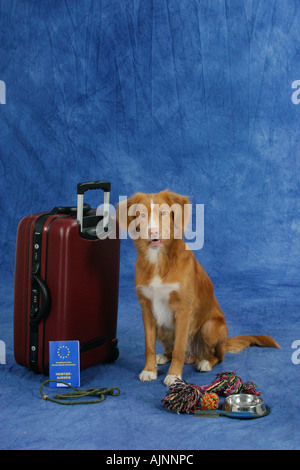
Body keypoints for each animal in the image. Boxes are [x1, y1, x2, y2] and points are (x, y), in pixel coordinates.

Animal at [116, 189, 278, 388]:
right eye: (142, 215)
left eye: (163, 213)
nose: (152, 232)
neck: (158, 260)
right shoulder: (147, 309)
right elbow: (149, 346)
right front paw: (149, 370)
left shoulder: (183, 310)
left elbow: (179, 348)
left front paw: (175, 376)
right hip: (162, 327)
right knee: (174, 349)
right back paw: (163, 357)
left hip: (210, 327)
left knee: (217, 355)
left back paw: (205, 362)